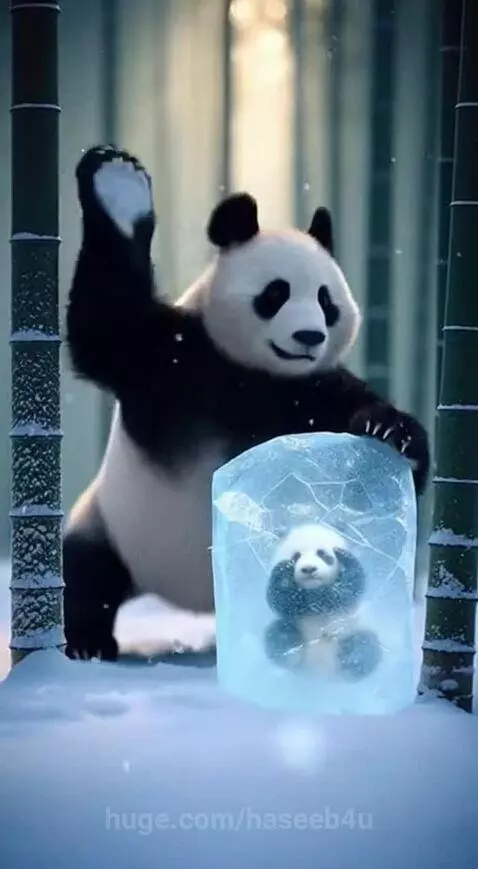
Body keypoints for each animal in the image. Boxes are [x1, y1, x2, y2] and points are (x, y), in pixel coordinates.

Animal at [63, 144, 430, 662]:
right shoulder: (170, 360)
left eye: (326, 301)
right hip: (109, 524)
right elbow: (104, 325)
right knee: (88, 574)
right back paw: (89, 643)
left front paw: (391, 435)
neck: (252, 374)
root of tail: (188, 597)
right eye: (276, 293)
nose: (309, 337)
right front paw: (118, 186)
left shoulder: (313, 392)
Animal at [264, 524, 382, 681]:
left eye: (322, 554)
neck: (315, 589)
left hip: (351, 630)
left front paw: (344, 557)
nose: (309, 569)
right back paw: (288, 651)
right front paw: (284, 571)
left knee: (367, 643)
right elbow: (281, 600)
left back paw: (353, 662)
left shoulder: (344, 600)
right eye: (296, 556)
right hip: (295, 629)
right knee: (277, 632)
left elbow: (348, 591)